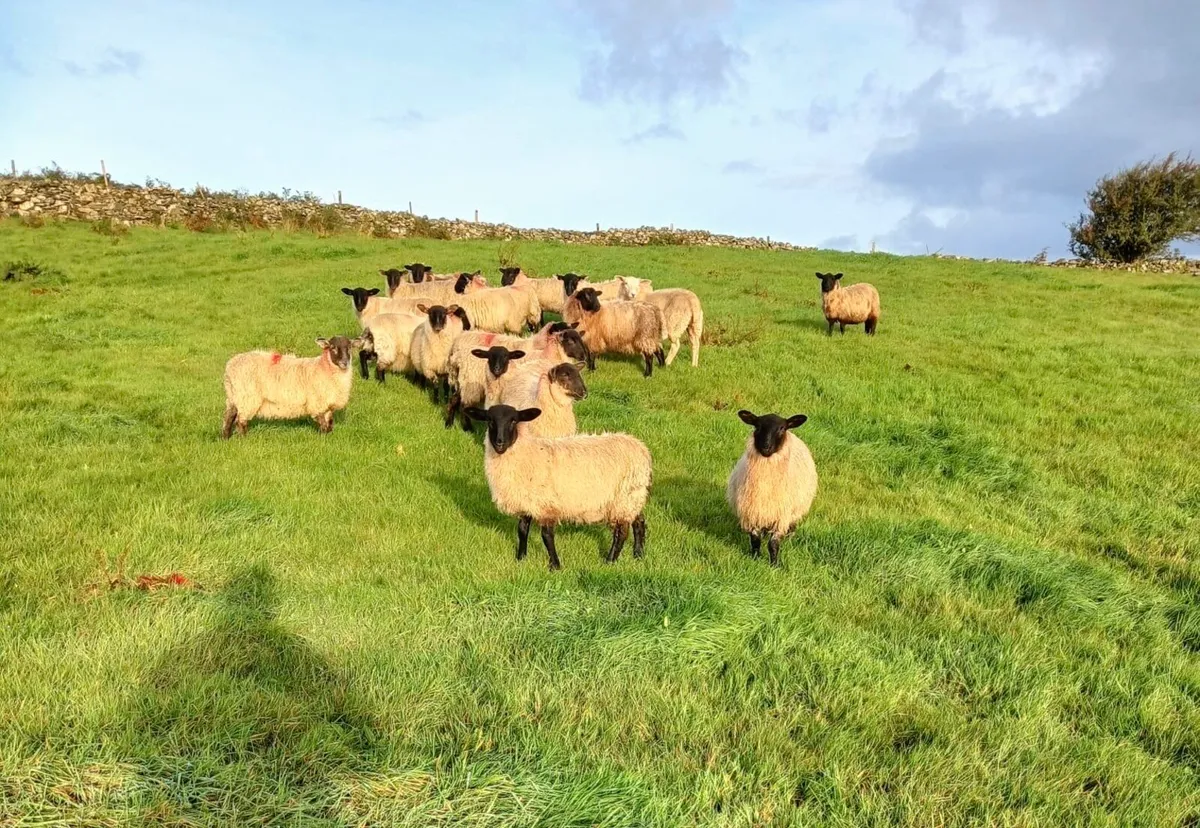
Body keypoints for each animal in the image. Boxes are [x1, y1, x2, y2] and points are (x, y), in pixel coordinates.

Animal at [221, 335, 362, 438]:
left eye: (350, 347)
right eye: (332, 347)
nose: (345, 362)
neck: (323, 368)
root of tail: (230, 366)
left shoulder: (327, 404)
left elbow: (330, 422)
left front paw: (328, 436)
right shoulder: (316, 403)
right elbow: (322, 422)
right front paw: (323, 438)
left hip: (234, 396)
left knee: (229, 417)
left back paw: (226, 438)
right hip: (247, 397)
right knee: (240, 420)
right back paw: (244, 439)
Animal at [444, 324, 591, 429]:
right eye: (570, 341)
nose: (583, 356)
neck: (547, 354)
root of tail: (457, 356)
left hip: (462, 382)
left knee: (454, 399)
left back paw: (449, 423)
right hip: (471, 385)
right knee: (464, 405)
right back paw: (467, 428)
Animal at [464, 404, 653, 571]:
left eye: (513, 420)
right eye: (490, 420)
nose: (499, 443)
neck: (526, 453)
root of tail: (641, 447)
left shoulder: (545, 505)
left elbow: (546, 536)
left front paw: (555, 565)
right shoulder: (527, 502)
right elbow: (522, 530)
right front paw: (521, 558)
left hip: (624, 497)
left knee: (621, 532)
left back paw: (610, 561)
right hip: (632, 496)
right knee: (639, 521)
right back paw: (638, 554)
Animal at [725, 410, 818, 567]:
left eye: (782, 428)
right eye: (757, 426)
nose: (766, 447)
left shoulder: (781, 515)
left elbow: (773, 544)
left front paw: (774, 565)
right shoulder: (753, 512)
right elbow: (755, 540)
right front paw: (755, 558)